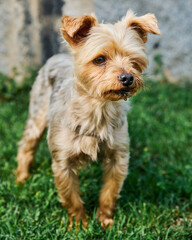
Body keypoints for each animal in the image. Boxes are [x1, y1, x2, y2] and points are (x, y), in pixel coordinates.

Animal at [16, 9, 160, 229]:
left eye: (133, 60)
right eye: (99, 59)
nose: (127, 77)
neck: (98, 108)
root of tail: (58, 55)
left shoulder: (118, 157)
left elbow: (109, 192)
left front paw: (105, 221)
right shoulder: (62, 163)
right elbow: (72, 198)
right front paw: (78, 225)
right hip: (38, 112)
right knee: (27, 144)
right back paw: (21, 178)